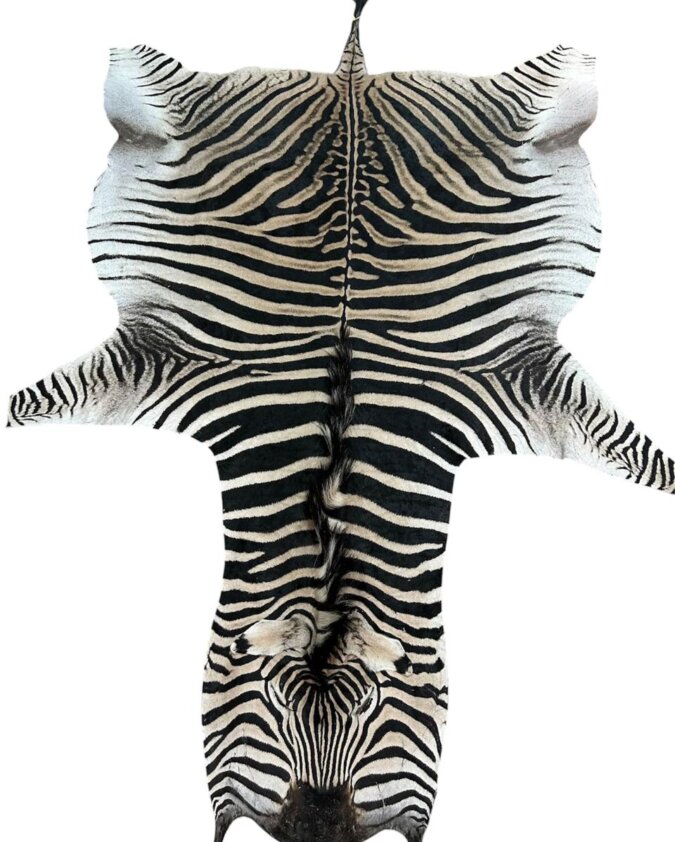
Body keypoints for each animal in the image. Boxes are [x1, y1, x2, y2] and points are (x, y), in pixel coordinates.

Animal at [6, 0, 674, 840]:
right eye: (263, 710)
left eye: (379, 716)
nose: (316, 826)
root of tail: (350, 81)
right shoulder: (164, 359)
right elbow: (31, 403)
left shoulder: (512, 377)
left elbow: (634, 453)